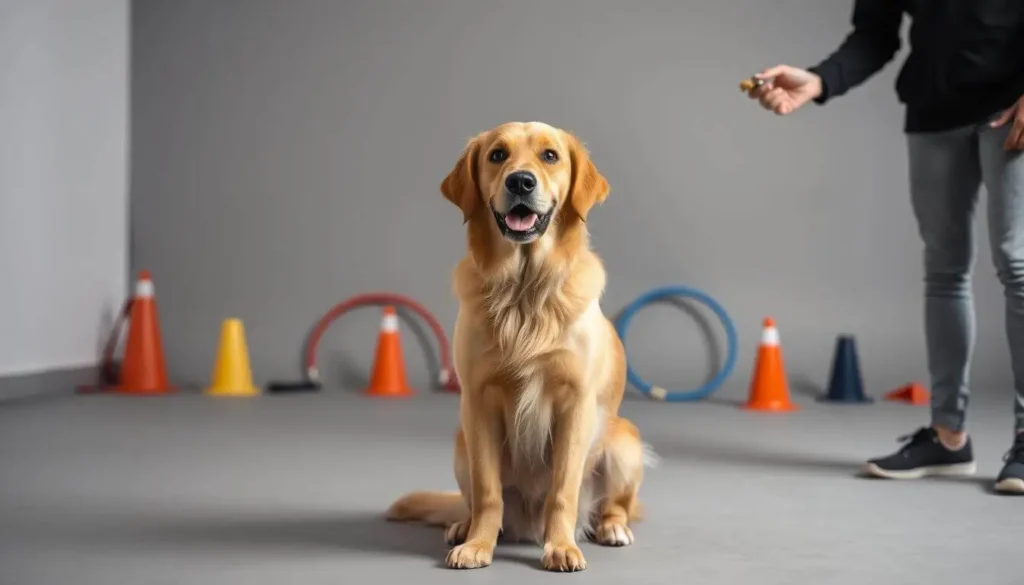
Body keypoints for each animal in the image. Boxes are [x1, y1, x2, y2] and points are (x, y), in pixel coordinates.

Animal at [385, 121, 655, 573]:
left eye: (550, 156)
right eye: (497, 155)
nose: (521, 181)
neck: (525, 290)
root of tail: (526, 525)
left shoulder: (575, 404)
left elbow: (562, 491)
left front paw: (561, 546)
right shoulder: (478, 402)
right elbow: (487, 491)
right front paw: (477, 545)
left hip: (623, 443)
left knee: (616, 505)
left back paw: (611, 528)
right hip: (461, 443)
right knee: (474, 502)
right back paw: (464, 525)